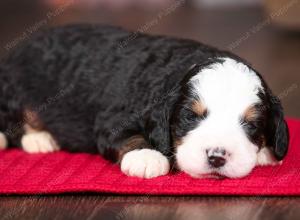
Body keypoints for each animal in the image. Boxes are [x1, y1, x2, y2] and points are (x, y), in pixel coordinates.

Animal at [0, 24, 290, 179]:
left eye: (252, 125)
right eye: (190, 117)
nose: (217, 157)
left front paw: (265, 152)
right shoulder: (113, 118)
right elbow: (128, 136)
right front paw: (146, 156)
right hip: (13, 87)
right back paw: (38, 139)